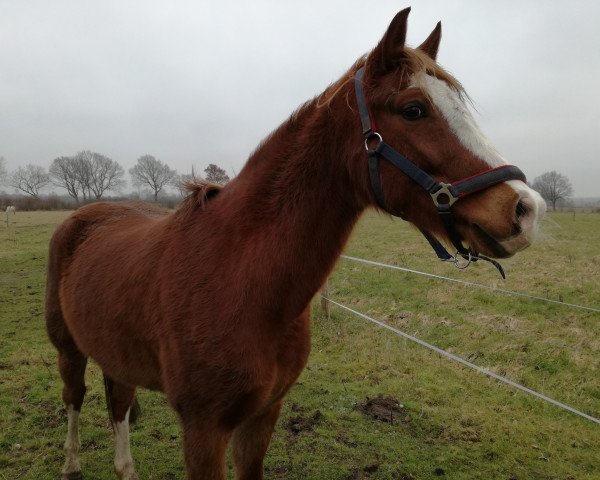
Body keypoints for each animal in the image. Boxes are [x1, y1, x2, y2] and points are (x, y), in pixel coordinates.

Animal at [45, 8, 544, 480]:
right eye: (414, 109)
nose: (526, 210)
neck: (237, 277)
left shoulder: (263, 414)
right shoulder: (203, 429)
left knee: (118, 403)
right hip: (68, 348)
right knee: (74, 397)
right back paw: (70, 464)